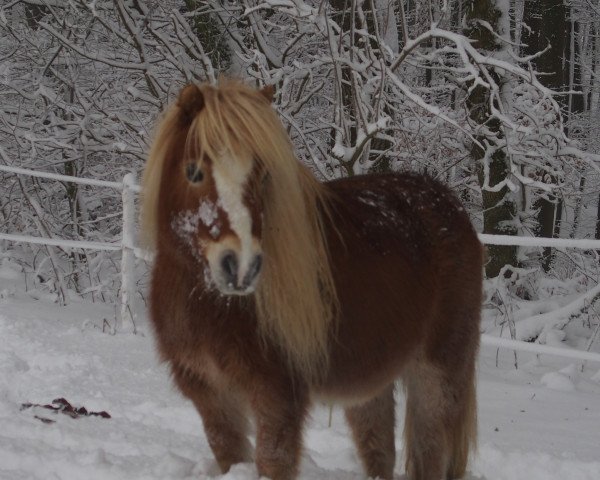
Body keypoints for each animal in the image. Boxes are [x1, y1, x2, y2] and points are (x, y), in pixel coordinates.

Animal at [142, 80, 482, 480]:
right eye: (193, 171)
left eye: (263, 176)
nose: (241, 267)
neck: (211, 304)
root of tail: (448, 203)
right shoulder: (209, 392)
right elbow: (228, 452)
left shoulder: (278, 395)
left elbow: (273, 460)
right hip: (371, 385)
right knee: (378, 447)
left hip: (438, 372)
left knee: (429, 450)